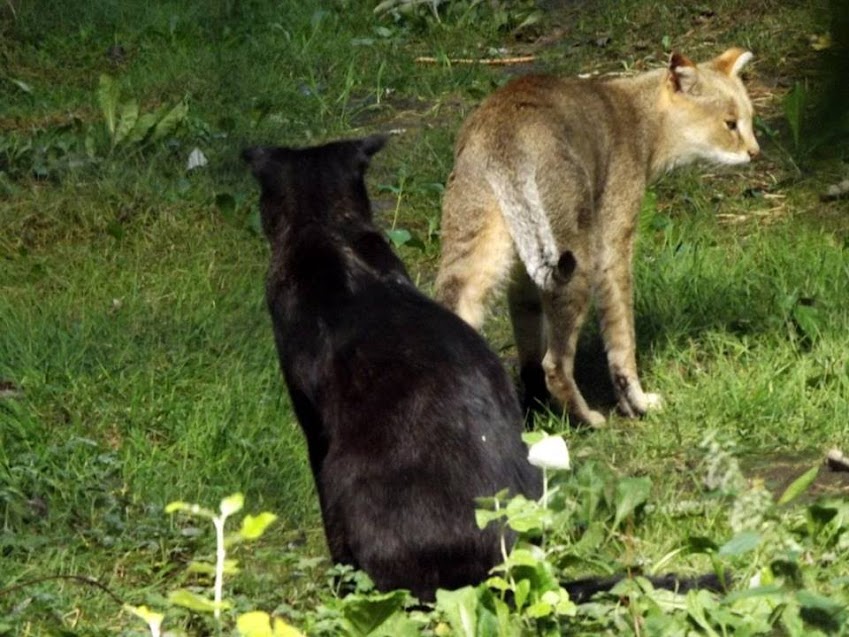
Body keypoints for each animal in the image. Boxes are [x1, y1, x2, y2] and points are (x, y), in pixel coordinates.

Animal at [434, 49, 760, 424]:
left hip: (474, 254)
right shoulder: (614, 246)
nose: (755, 151)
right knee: (555, 363)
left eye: (750, 118)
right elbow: (621, 335)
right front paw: (637, 402)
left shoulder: (523, 278)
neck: (638, 117)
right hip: (577, 258)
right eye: (730, 123)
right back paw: (588, 418)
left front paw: (535, 405)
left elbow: (529, 347)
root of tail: (505, 135)